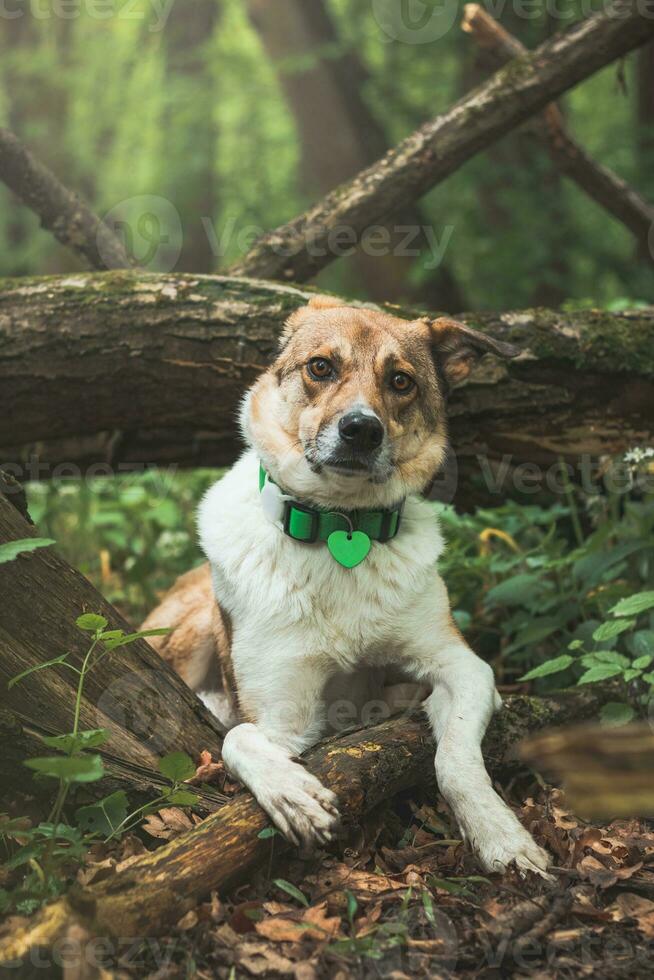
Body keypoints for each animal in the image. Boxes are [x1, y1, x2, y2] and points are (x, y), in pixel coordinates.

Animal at [145, 296, 552, 872]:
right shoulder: (282, 713)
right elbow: (238, 736)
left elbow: (455, 757)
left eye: (401, 381)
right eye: (320, 367)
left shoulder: (464, 666)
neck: (341, 525)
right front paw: (293, 795)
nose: (361, 429)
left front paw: (500, 834)